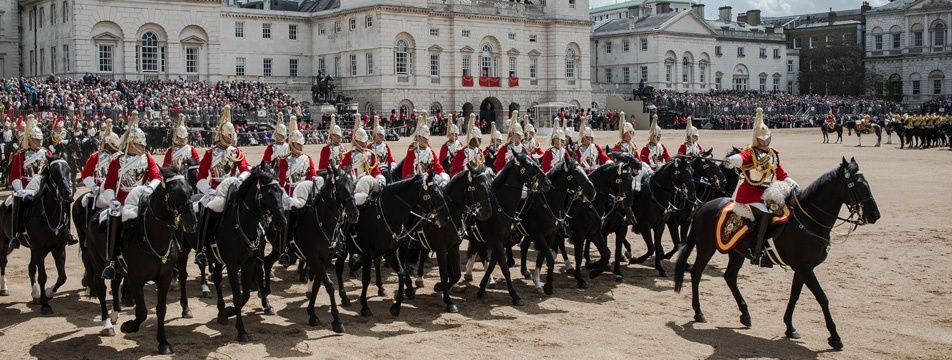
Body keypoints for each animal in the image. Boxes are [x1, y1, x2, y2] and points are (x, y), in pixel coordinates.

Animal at [84, 169, 198, 354]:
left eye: (189, 188)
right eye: (173, 191)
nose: (192, 222)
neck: (153, 237)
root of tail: (95, 216)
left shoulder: (165, 278)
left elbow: (161, 309)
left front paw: (163, 343)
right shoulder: (135, 279)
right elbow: (142, 311)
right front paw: (129, 326)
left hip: (117, 268)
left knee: (115, 283)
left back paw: (115, 313)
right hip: (98, 263)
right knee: (101, 289)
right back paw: (107, 324)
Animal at [206, 165, 284, 342]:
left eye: (281, 191)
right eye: (269, 192)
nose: (281, 221)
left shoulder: (249, 261)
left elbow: (246, 294)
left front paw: (229, 311)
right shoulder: (232, 266)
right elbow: (237, 295)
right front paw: (241, 330)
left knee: (218, 279)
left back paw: (222, 310)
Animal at [294, 163, 356, 332]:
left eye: (354, 185)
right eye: (340, 187)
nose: (354, 213)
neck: (322, 223)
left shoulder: (325, 258)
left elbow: (317, 285)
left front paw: (312, 313)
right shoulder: (313, 258)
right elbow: (329, 285)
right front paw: (337, 320)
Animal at [672, 158, 880, 348]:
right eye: (856, 186)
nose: (874, 215)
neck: (810, 220)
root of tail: (705, 205)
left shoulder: (802, 268)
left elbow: (794, 295)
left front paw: (790, 327)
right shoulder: (804, 267)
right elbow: (822, 297)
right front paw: (835, 337)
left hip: (737, 252)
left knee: (730, 277)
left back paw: (745, 315)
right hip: (707, 247)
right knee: (697, 273)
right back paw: (699, 312)